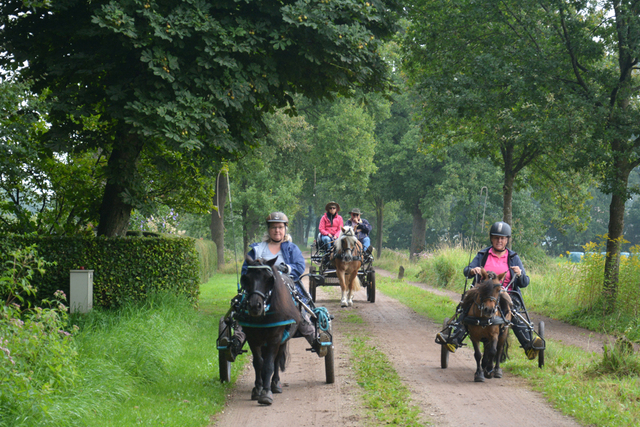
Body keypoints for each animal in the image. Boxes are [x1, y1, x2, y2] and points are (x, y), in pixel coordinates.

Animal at [238, 256, 302, 406]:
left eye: (269, 279)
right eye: (246, 278)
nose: (255, 306)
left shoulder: (275, 338)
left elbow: (269, 365)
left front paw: (266, 393)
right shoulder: (253, 338)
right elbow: (258, 363)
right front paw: (258, 388)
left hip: (282, 340)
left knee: (276, 359)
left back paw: (275, 384)